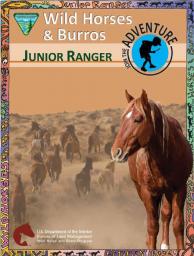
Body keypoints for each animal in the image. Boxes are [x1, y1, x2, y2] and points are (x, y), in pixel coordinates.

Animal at [110, 89, 192, 248]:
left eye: (138, 119)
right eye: (122, 119)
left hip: (167, 192)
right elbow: (152, 227)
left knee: (166, 214)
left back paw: (165, 245)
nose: (116, 152)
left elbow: (178, 225)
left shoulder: (179, 189)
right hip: (142, 190)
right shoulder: (147, 192)